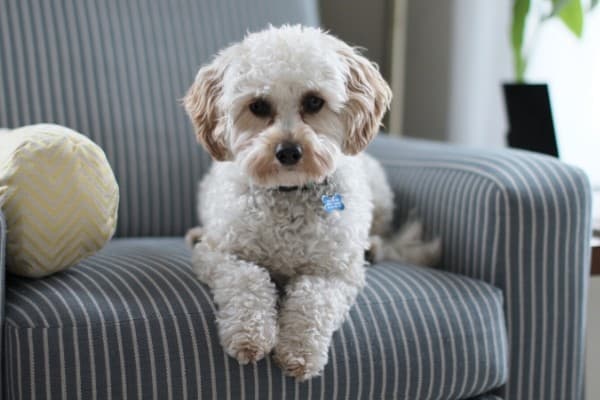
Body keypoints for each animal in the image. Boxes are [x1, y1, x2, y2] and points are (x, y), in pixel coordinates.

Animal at [180, 25, 438, 382]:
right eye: (258, 106)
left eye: (314, 101)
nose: (288, 151)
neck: (288, 192)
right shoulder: (222, 255)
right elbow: (248, 280)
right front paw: (249, 334)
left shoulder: (334, 272)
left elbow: (312, 301)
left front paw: (299, 351)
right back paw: (194, 235)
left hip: (380, 193)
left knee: (381, 231)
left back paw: (372, 247)